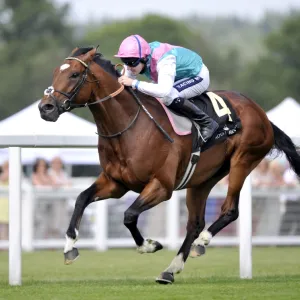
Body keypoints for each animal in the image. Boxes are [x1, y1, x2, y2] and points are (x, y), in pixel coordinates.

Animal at [38, 47, 300, 284]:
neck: (129, 127)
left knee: (229, 210)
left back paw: (201, 242)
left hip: (242, 161)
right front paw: (69, 248)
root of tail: (263, 115)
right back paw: (170, 270)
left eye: (74, 74)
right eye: (55, 72)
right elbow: (81, 198)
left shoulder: (161, 186)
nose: (45, 108)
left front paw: (149, 245)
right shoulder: (116, 183)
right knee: (194, 223)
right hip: (203, 179)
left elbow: (129, 215)